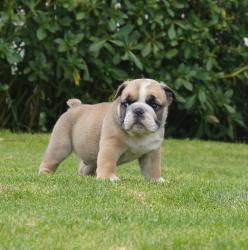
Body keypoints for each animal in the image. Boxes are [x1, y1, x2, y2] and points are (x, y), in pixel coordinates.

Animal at [39, 79, 174, 182]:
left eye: (155, 105)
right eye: (126, 103)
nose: (138, 110)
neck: (139, 135)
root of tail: (75, 107)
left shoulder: (151, 152)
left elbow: (153, 168)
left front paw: (156, 180)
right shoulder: (111, 146)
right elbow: (108, 162)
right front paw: (108, 177)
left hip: (90, 156)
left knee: (86, 167)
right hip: (60, 146)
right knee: (51, 160)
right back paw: (45, 173)